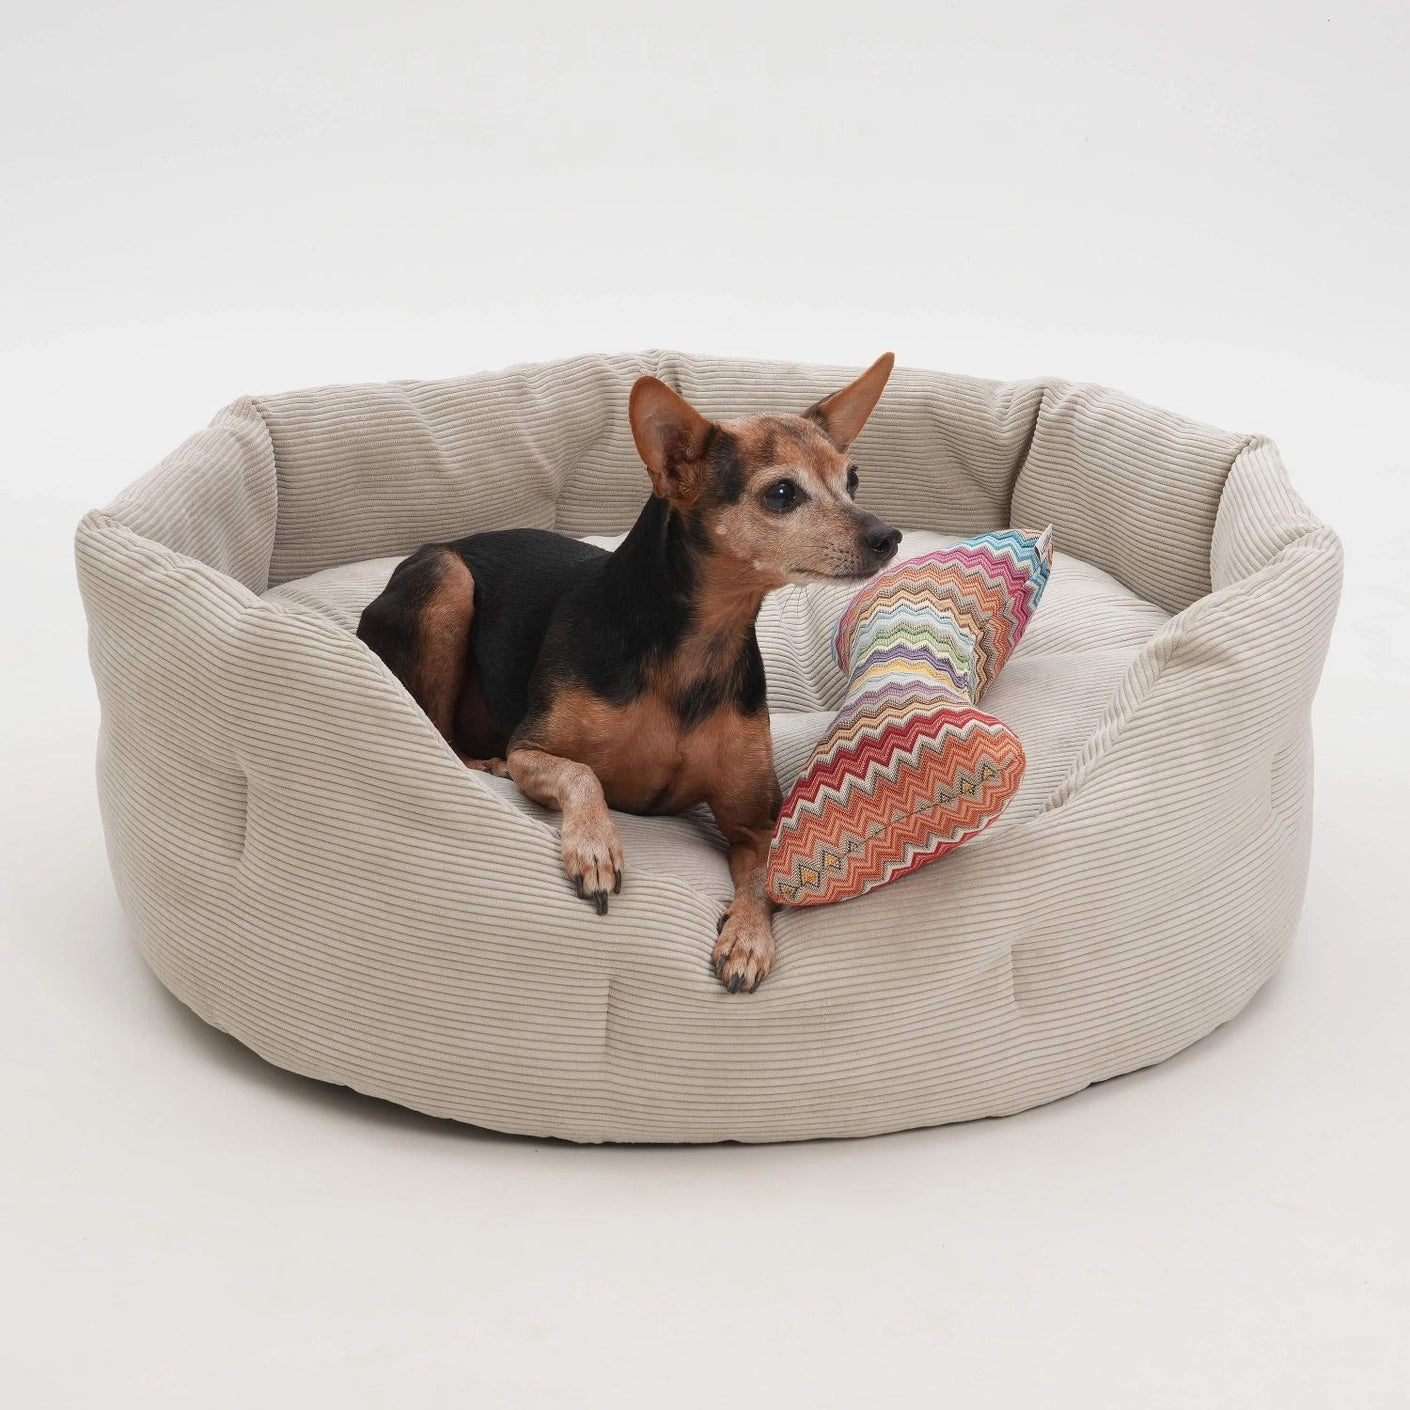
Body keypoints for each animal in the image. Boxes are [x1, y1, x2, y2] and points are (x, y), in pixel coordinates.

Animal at [358, 352, 896, 992]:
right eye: (782, 493)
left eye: (853, 480)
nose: (887, 536)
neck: (699, 642)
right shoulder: (531, 751)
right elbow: (583, 774)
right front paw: (595, 848)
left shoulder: (756, 822)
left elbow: (765, 880)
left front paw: (747, 938)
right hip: (447, 581)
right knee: (437, 730)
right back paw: (480, 763)